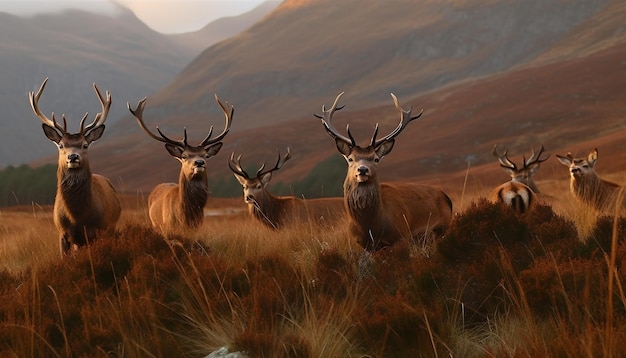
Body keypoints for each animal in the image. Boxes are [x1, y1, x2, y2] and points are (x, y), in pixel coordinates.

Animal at [28, 77, 121, 255]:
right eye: (61, 145)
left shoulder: (98, 231)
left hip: (113, 229)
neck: (78, 218)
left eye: (85, 145)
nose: (73, 156)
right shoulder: (62, 234)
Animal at [126, 94, 232, 235]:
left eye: (206, 155)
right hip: (154, 223)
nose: (199, 162)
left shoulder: (197, 227)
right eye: (184, 156)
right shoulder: (168, 227)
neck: (186, 215)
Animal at [314, 91, 450, 250]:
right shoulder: (364, 245)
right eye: (351, 159)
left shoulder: (400, 236)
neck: (371, 226)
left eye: (376, 159)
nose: (362, 170)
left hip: (442, 228)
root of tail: (446, 197)